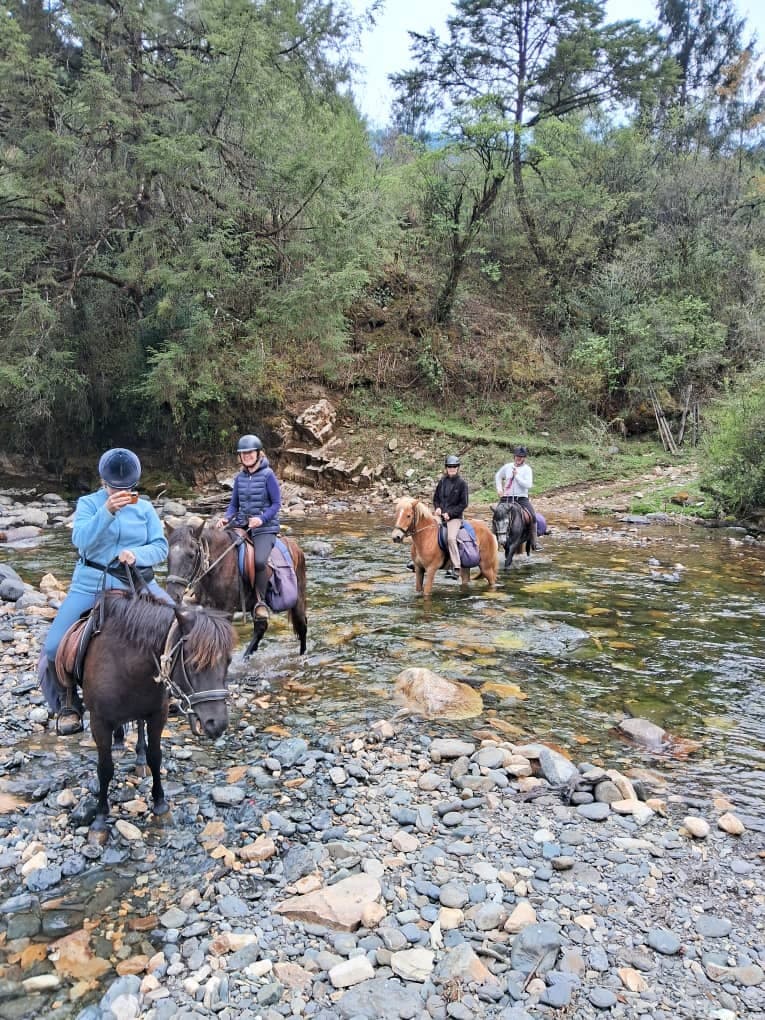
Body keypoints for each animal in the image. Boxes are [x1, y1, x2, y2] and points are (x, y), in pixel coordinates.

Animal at [82, 592, 234, 831]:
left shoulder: (157, 714)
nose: (217, 724)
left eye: (228, 661)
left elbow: (155, 757)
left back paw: (138, 756)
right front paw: (100, 816)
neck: (125, 664)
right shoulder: (99, 721)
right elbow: (105, 768)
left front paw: (160, 802)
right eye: (193, 663)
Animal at [165, 523, 308, 656]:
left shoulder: (226, 611)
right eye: (168, 556)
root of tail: (296, 548)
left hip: (298, 600)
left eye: (191, 555)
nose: (172, 594)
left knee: (302, 625)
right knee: (261, 628)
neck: (219, 565)